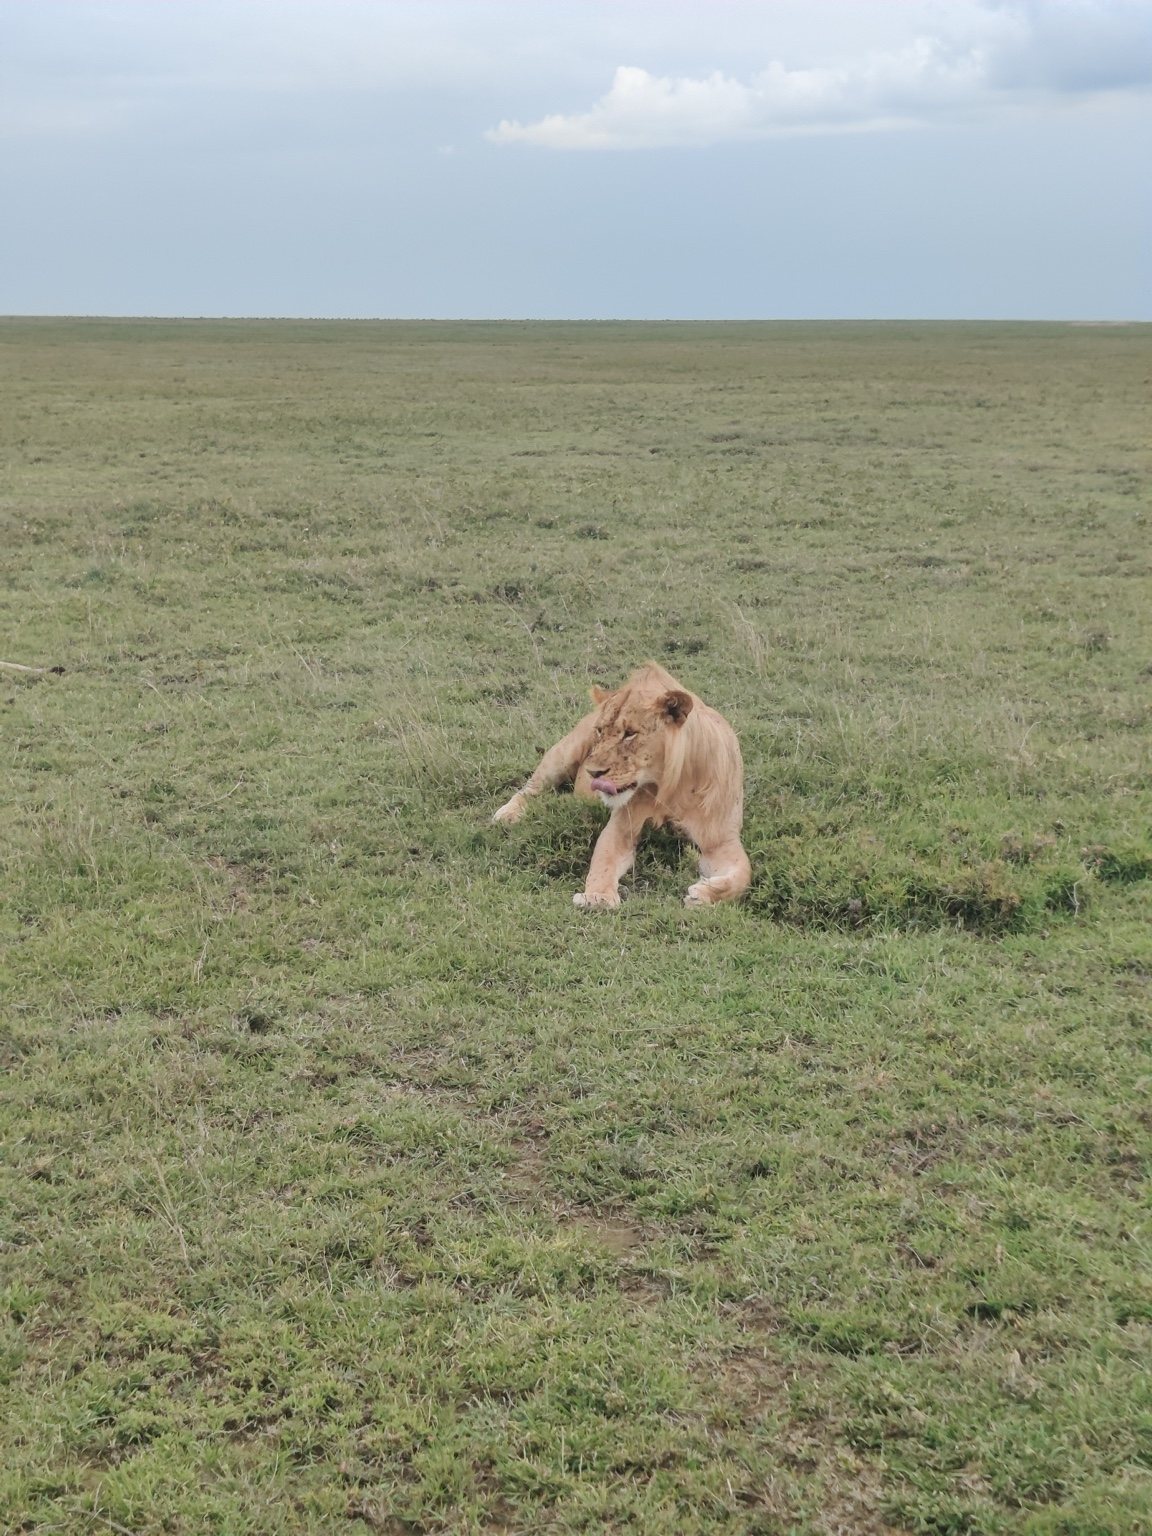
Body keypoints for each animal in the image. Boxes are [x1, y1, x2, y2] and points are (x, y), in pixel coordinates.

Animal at [493, 662, 751, 908]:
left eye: (630, 733)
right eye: (600, 731)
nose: (593, 772)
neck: (672, 788)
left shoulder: (719, 839)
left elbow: (744, 872)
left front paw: (704, 895)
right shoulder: (622, 827)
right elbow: (604, 859)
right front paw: (597, 898)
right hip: (562, 754)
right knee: (531, 788)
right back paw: (507, 814)